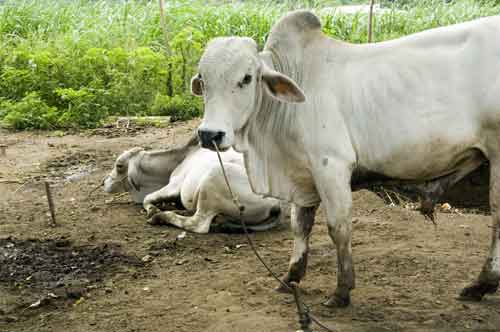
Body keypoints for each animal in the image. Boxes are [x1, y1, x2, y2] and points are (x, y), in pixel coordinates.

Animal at [102, 134, 282, 232]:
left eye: (119, 165)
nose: (104, 182)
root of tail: (276, 205)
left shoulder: (175, 185)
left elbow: (148, 198)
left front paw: (153, 210)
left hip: (214, 178)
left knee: (197, 224)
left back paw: (161, 216)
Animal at [193, 11, 500, 308]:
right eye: (203, 80)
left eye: (246, 78)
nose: (210, 134)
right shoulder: (304, 175)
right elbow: (300, 224)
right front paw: (291, 277)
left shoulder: (332, 166)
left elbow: (338, 228)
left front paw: (342, 290)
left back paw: (481, 284)